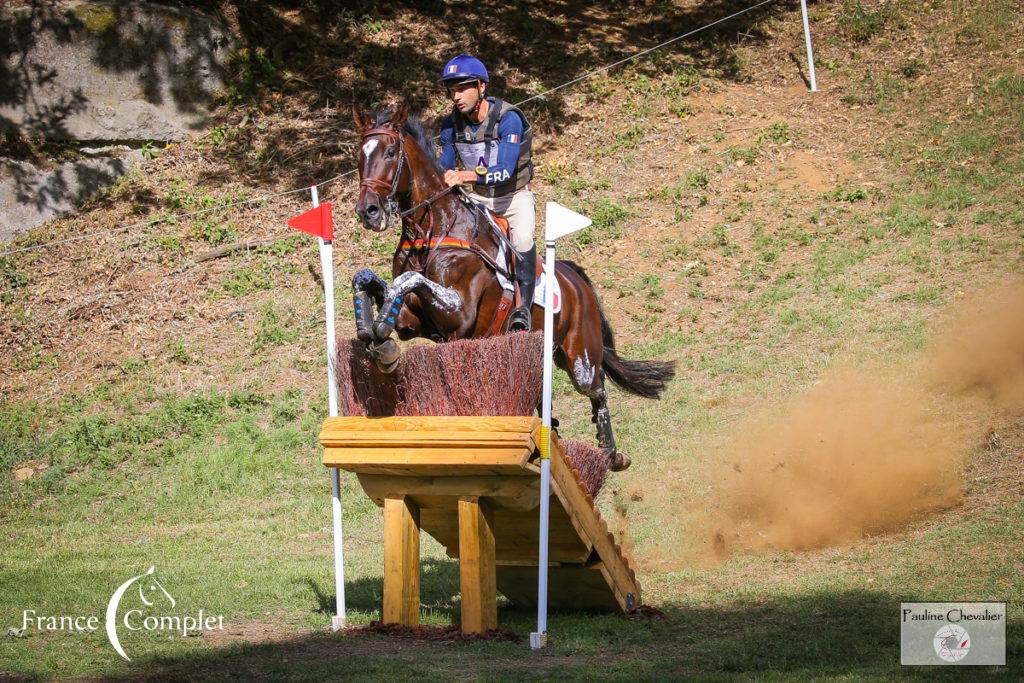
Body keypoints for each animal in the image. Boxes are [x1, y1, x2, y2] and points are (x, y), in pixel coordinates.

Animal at [348, 104, 675, 473]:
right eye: (359, 156)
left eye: (391, 153)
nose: (368, 211)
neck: (432, 229)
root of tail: (575, 278)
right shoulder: (413, 321)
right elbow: (370, 281)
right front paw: (374, 336)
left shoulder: (458, 314)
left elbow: (407, 281)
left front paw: (378, 335)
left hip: (580, 355)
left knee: (597, 390)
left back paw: (612, 455)